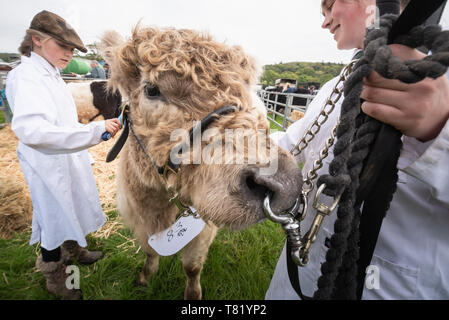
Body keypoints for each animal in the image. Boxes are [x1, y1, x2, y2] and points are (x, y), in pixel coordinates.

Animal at [98, 25, 300, 300]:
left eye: (245, 89)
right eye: (151, 89)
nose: (283, 180)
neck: (161, 204)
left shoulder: (203, 227)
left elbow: (192, 266)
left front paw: (192, 294)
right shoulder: (140, 218)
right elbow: (150, 251)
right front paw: (144, 277)